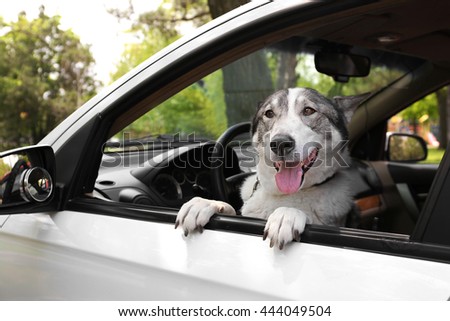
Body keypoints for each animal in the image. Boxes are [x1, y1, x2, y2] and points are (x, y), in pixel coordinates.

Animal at [174, 87, 368, 248]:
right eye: (269, 113)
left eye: (309, 110)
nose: (280, 143)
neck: (285, 194)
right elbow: (230, 209)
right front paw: (205, 203)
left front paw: (286, 214)